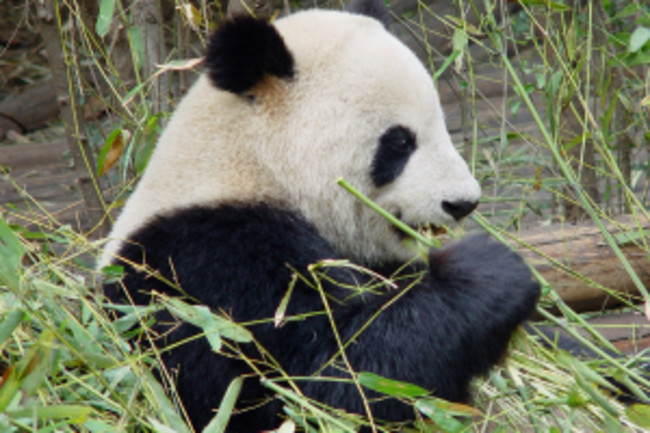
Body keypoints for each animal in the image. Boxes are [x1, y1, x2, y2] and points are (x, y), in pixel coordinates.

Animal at [101, 0, 540, 431]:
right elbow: (326, 384)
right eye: (399, 142)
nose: (463, 202)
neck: (253, 163)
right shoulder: (210, 264)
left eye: (442, 127)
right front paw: (488, 270)